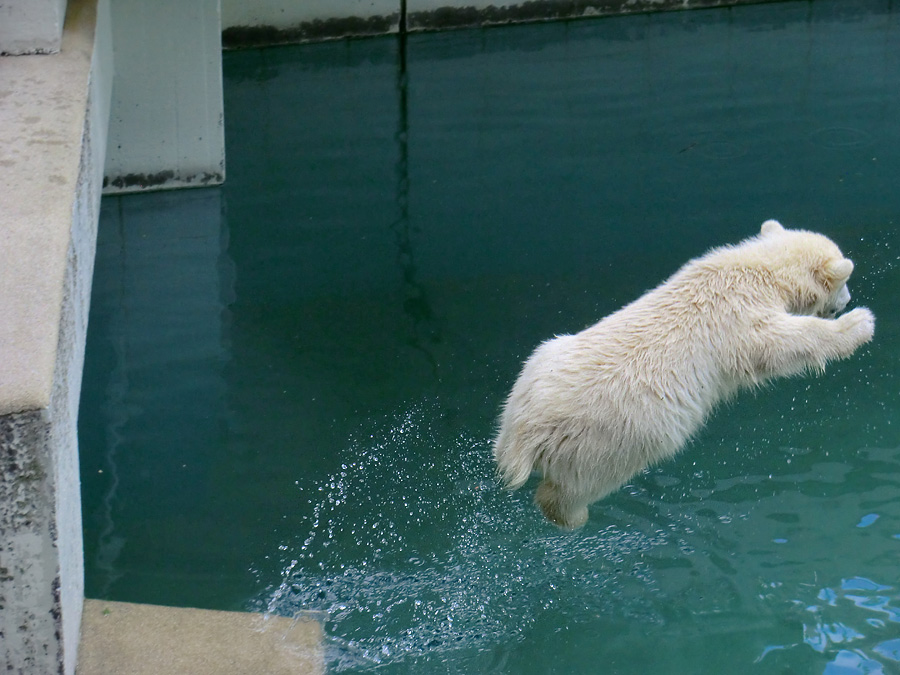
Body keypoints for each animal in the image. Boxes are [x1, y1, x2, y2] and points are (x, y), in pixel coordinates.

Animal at [496, 220, 876, 528]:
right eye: (844, 281)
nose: (848, 299)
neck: (757, 268)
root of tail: (529, 428)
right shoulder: (739, 317)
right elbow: (782, 343)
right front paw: (859, 324)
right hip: (620, 431)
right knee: (587, 480)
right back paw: (572, 515)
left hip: (536, 367)